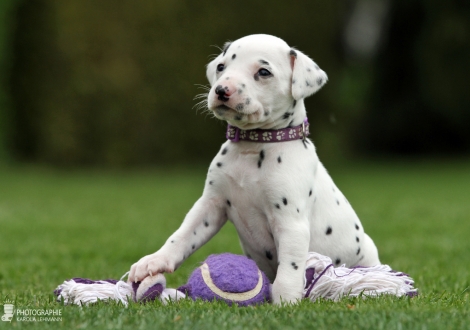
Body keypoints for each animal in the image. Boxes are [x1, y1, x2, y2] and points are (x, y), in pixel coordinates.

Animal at [129, 34, 382, 304]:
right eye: (221, 67)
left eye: (263, 72)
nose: (221, 90)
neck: (254, 147)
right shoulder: (210, 205)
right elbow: (182, 235)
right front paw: (154, 261)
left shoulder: (290, 222)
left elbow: (290, 266)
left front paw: (285, 300)